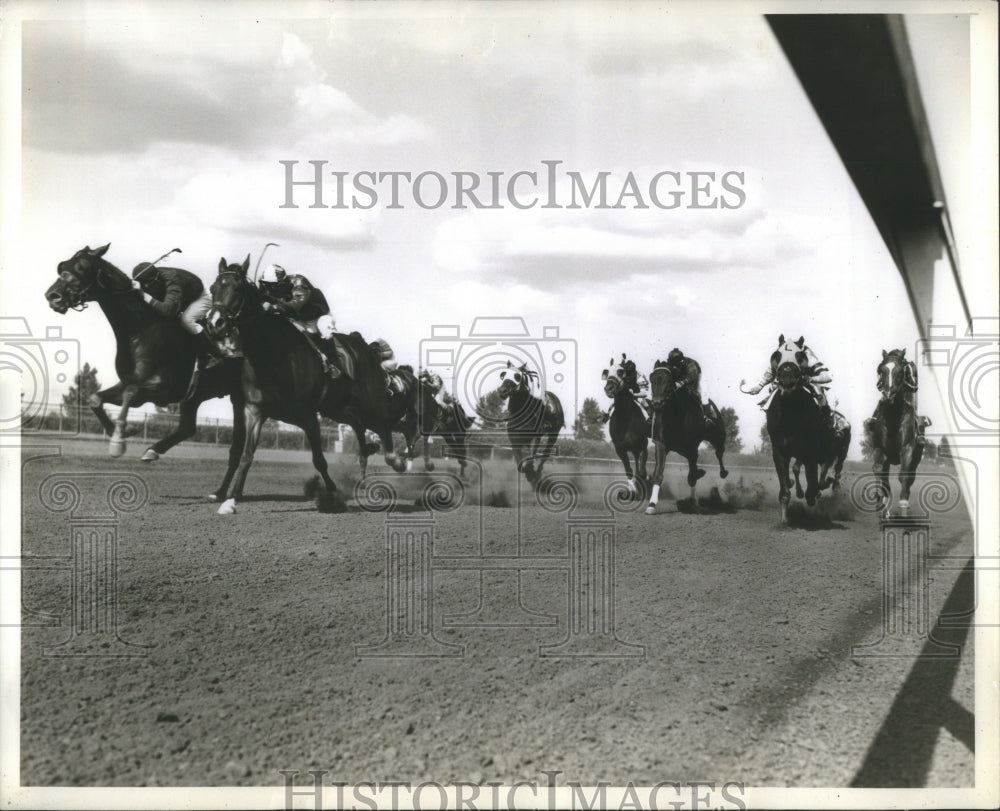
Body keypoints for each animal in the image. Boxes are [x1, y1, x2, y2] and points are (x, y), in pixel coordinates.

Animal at [45, 244, 250, 502]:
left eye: (82, 268)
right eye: (62, 266)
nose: (52, 296)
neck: (140, 331)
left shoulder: (162, 388)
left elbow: (130, 393)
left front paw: (118, 442)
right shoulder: (132, 384)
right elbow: (95, 398)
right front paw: (120, 432)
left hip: (238, 396)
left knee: (237, 447)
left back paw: (223, 493)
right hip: (194, 397)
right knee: (188, 428)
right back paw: (154, 452)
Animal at [644, 362, 732, 512]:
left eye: (669, 380)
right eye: (652, 379)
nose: (657, 404)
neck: (675, 417)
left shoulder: (692, 447)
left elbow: (691, 477)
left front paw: (693, 500)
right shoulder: (661, 445)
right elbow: (658, 474)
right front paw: (651, 504)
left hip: (718, 437)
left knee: (719, 453)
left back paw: (722, 472)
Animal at [864, 348, 924, 512]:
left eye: (900, 371)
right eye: (881, 370)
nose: (888, 395)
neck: (893, 418)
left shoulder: (907, 448)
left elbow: (904, 475)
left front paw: (903, 502)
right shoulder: (879, 449)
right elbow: (878, 470)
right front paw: (882, 500)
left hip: (916, 458)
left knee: (910, 476)